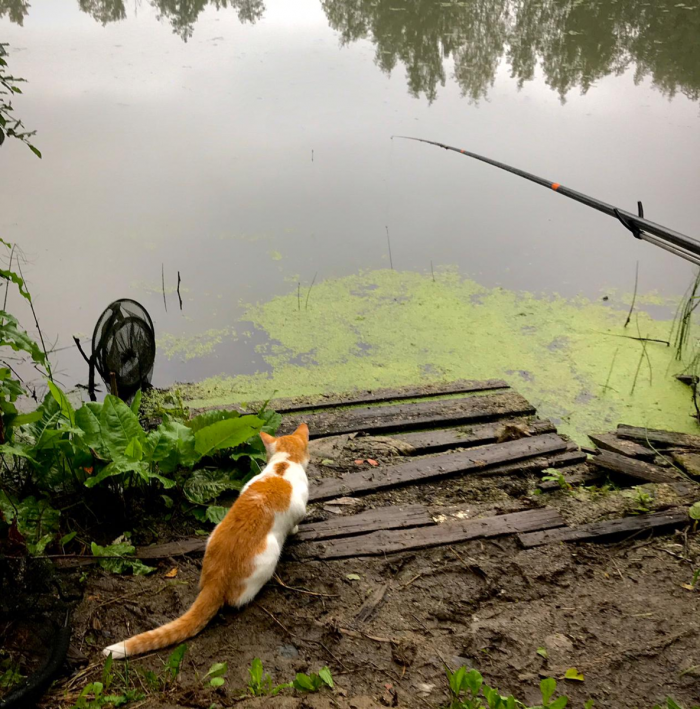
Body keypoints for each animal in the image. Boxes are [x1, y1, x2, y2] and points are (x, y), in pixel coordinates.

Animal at [102, 420, 310, 660]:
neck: (285, 463)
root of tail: (215, 578)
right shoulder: (299, 510)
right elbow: (295, 522)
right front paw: (296, 530)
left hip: (213, 534)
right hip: (269, 554)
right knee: (237, 599)